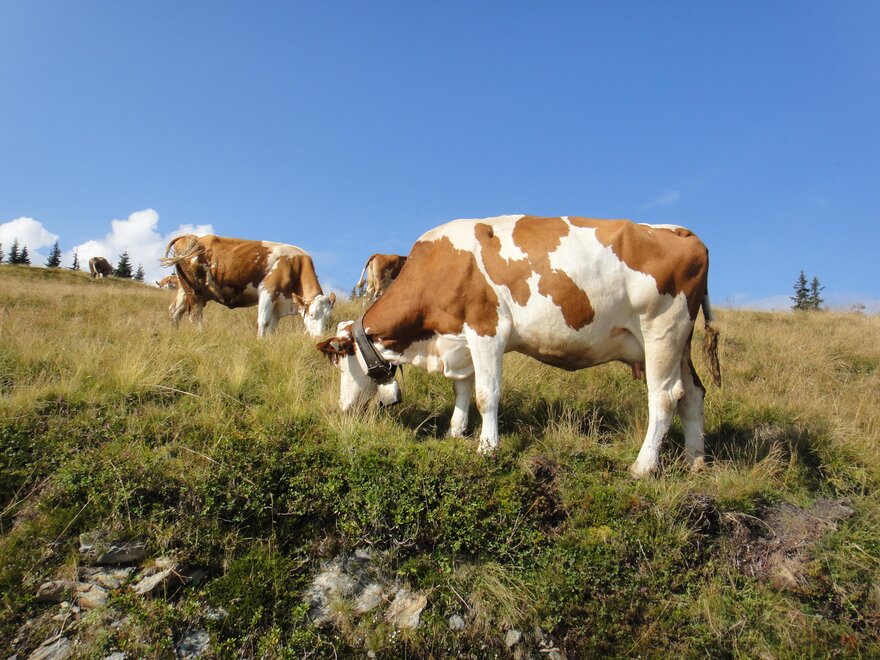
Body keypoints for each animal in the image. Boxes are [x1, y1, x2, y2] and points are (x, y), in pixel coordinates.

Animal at [161, 234, 336, 337]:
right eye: (311, 314)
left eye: (328, 318)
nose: (319, 337)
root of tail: (190, 236)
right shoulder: (268, 290)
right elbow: (263, 321)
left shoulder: (279, 304)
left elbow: (272, 327)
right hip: (195, 289)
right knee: (195, 315)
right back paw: (201, 335)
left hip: (184, 288)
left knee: (175, 311)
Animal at [317, 215, 721, 477]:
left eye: (340, 362)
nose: (343, 409)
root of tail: (682, 232)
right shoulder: (459, 340)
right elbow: (462, 388)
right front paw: (456, 431)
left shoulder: (487, 329)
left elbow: (486, 394)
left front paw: (486, 447)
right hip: (679, 343)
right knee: (692, 394)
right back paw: (695, 460)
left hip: (661, 331)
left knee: (665, 397)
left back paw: (643, 466)